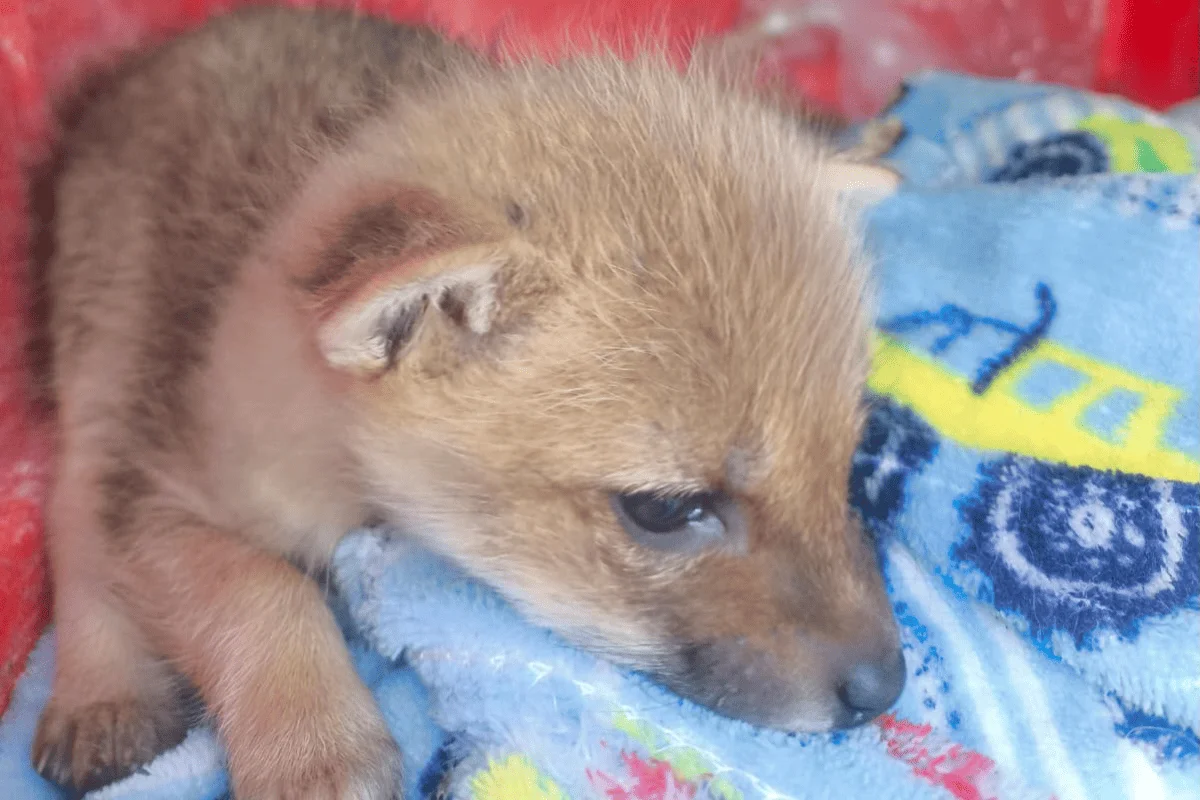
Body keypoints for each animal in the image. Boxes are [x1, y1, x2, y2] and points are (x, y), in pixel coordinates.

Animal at [27, 5, 906, 798]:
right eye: (662, 509)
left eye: (848, 457)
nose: (886, 688)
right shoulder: (157, 499)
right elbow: (261, 589)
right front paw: (316, 750)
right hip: (102, 351)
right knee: (70, 513)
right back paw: (100, 693)